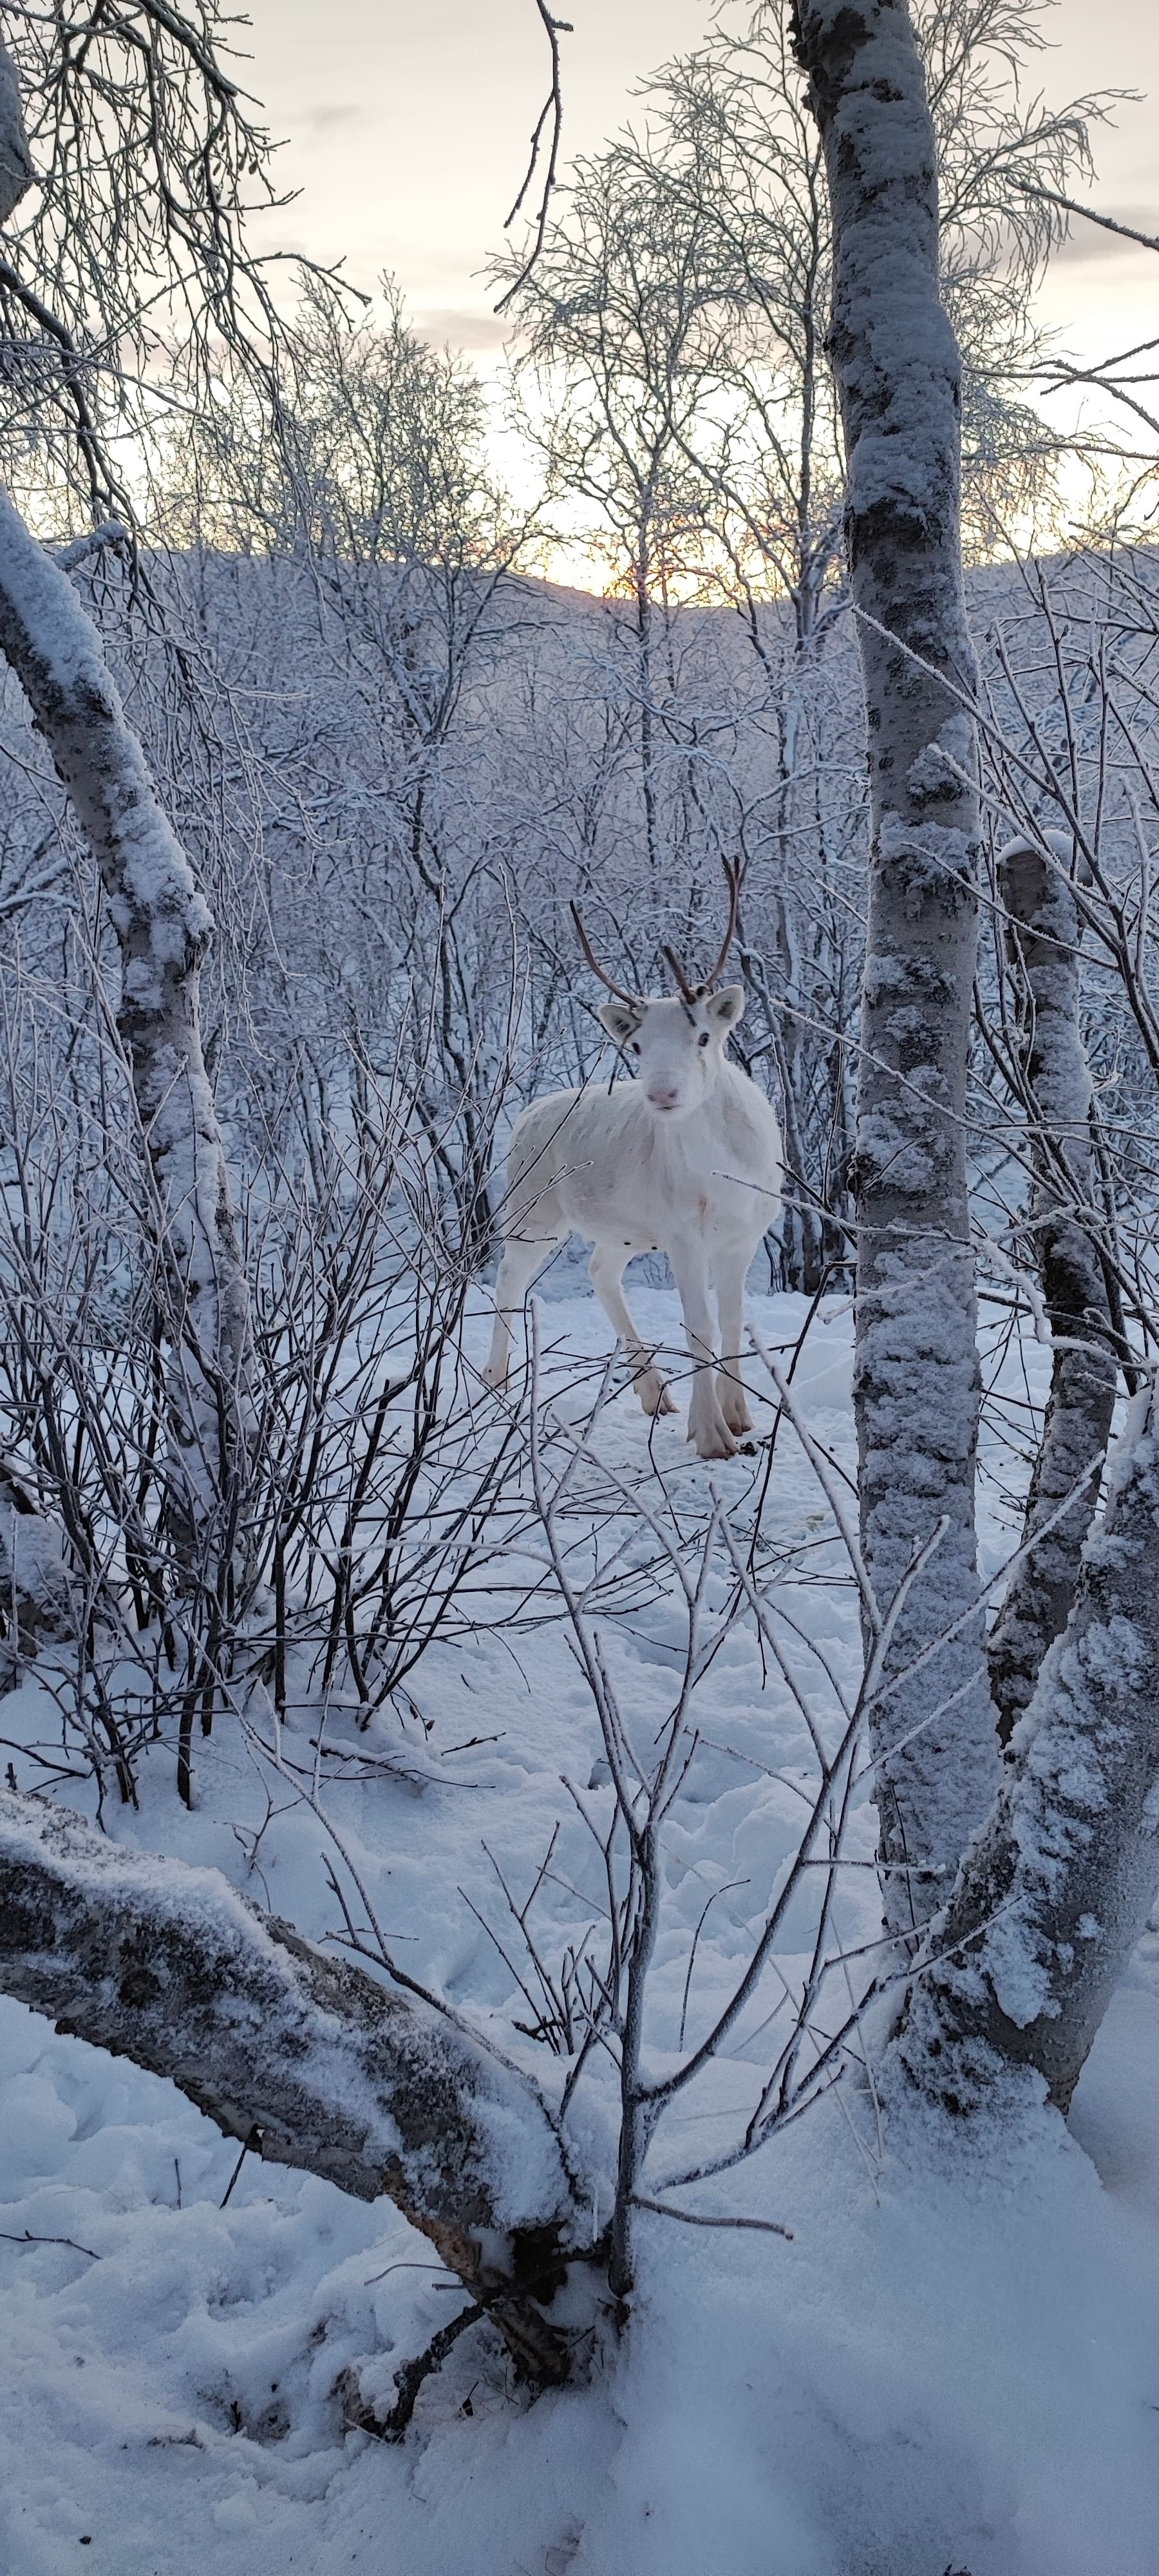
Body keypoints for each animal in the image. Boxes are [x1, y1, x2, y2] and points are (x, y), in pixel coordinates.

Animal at [482, 864, 783, 1460]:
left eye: (704, 1035)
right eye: (639, 1046)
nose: (663, 1095)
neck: (727, 1175)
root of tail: (526, 1113)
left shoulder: (746, 1232)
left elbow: (734, 1319)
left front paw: (740, 1417)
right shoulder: (682, 1231)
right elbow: (699, 1326)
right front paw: (710, 1434)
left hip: (624, 1230)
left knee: (600, 1270)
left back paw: (654, 1392)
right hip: (533, 1210)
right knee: (508, 1277)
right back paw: (496, 1380)